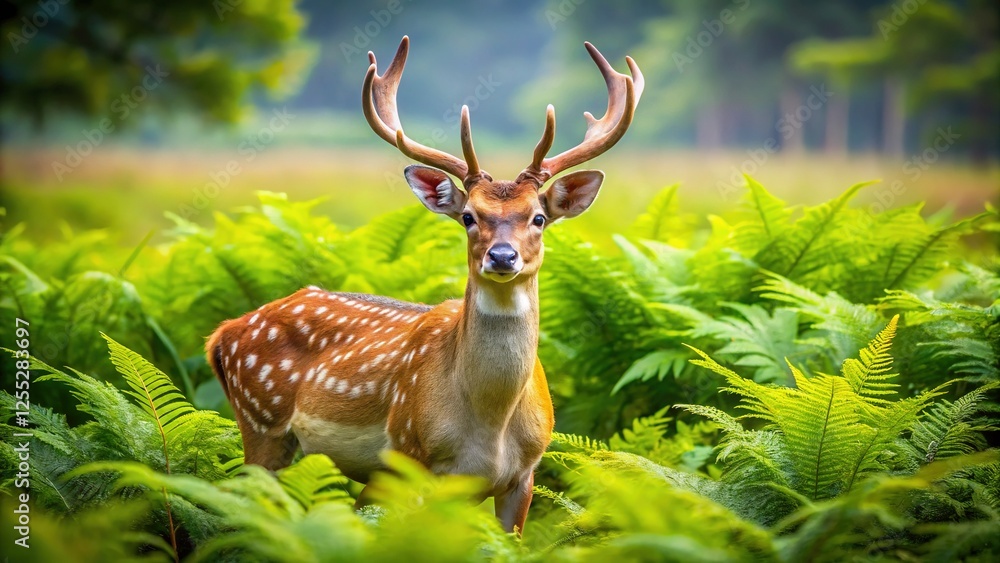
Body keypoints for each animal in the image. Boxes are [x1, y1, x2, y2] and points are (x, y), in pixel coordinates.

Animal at [205, 35, 643, 534]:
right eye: (469, 216)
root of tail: (223, 334)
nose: (502, 256)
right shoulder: (408, 460)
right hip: (262, 420)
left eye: (538, 217)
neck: (491, 426)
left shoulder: (526, 474)